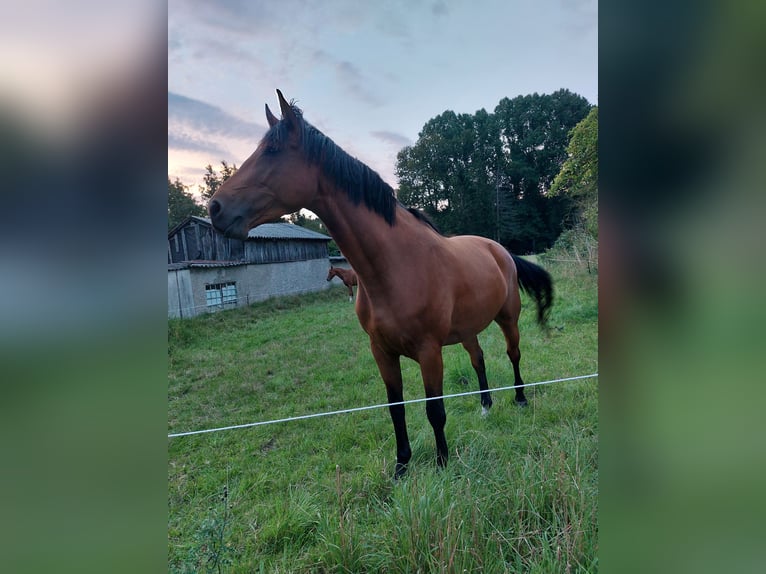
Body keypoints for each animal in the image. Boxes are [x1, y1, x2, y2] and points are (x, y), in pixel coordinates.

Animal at [210, 90, 552, 480]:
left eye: (272, 151)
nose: (215, 208)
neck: (395, 265)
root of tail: (499, 250)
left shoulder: (429, 352)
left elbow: (435, 409)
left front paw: (442, 461)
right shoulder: (382, 351)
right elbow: (396, 408)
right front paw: (402, 466)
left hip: (508, 318)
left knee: (513, 354)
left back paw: (520, 398)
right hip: (467, 329)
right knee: (478, 360)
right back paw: (485, 405)